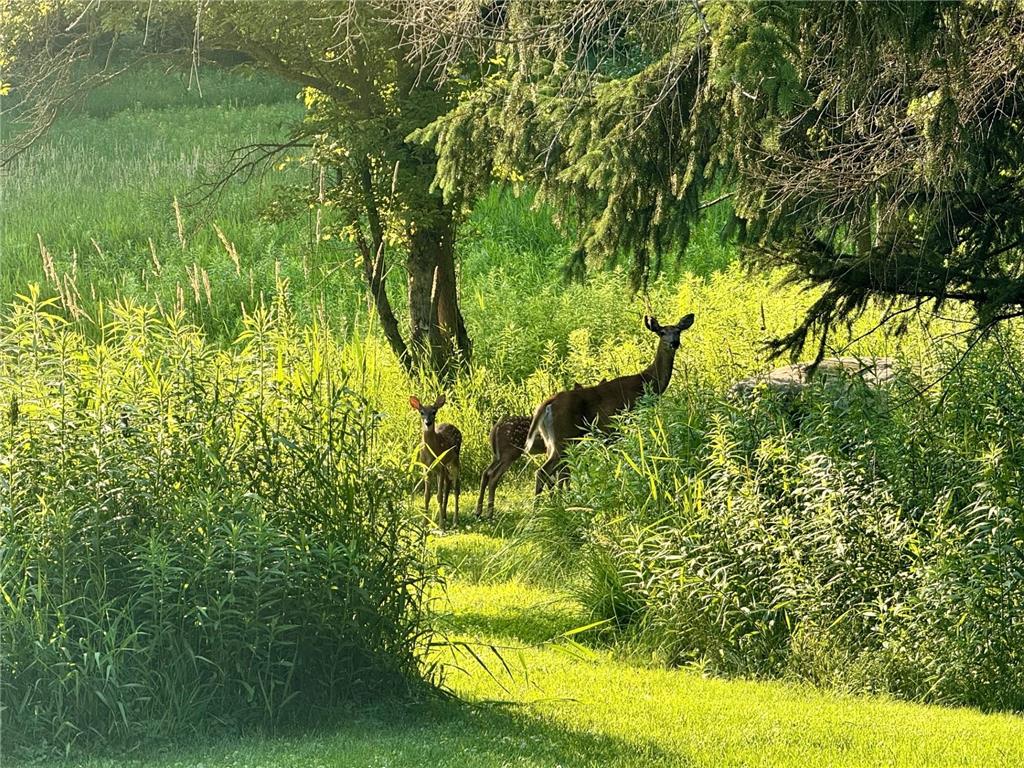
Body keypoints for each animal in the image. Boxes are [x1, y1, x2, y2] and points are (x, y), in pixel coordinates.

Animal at [410, 394, 462, 530]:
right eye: (421, 412)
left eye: (434, 412)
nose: (428, 423)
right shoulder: (426, 468)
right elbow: (427, 495)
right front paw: (424, 523)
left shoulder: (440, 467)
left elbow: (438, 495)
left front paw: (441, 526)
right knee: (448, 483)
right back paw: (444, 515)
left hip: (455, 460)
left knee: (456, 487)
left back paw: (455, 521)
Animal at [525, 313, 695, 495]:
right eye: (662, 332)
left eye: (678, 331)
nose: (674, 343)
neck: (647, 382)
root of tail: (546, 404)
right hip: (564, 436)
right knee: (544, 472)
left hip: (553, 440)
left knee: (556, 473)